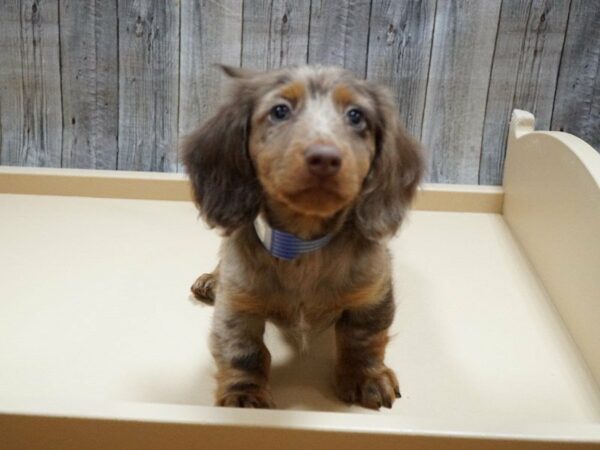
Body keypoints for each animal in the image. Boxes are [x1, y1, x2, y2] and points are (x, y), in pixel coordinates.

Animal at [183, 64, 422, 412]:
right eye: (280, 110)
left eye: (356, 116)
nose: (324, 158)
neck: (301, 244)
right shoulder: (238, 303)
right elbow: (244, 351)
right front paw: (244, 396)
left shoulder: (373, 292)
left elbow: (364, 338)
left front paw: (366, 377)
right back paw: (211, 279)